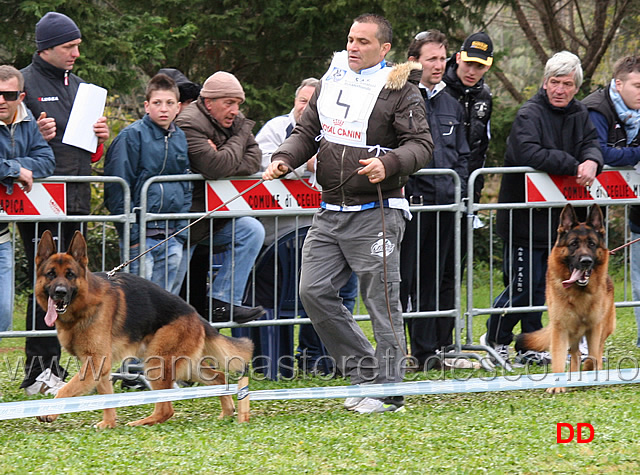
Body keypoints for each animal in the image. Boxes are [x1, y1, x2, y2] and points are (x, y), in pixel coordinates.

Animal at [33, 231, 252, 428]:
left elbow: (65, 390)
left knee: (166, 409)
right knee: (219, 378)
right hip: (186, 364)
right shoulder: (99, 365)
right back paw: (227, 412)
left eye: (70, 275)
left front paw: (50, 412)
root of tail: (196, 315)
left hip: (156, 364)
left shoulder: (95, 362)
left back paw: (142, 422)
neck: (86, 303)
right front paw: (109, 423)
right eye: (51, 274)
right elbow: (106, 398)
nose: (60, 292)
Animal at [516, 205, 616, 394]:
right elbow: (559, 358)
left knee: (595, 352)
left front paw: (591, 373)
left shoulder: (594, 328)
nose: (586, 261)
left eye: (592, 244)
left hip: (603, 328)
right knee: (575, 354)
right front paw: (557, 385)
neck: (579, 293)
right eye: (573, 244)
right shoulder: (560, 330)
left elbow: (593, 356)